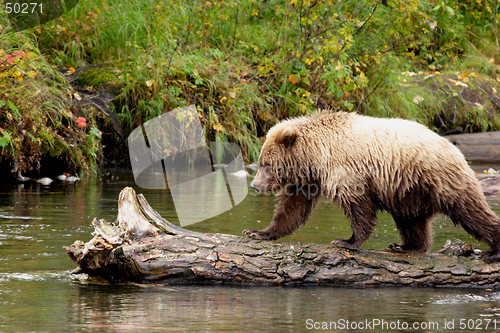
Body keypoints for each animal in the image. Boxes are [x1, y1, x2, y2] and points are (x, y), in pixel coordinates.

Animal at [244, 111, 500, 262]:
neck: (315, 156)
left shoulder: (346, 169)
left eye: (265, 164)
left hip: (437, 178)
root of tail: (452, 146)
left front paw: (346, 241)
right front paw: (258, 232)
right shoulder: (308, 179)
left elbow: (358, 207)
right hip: (407, 191)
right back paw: (406, 246)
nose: (255, 185)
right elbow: (292, 209)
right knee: (411, 221)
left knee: (470, 210)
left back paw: (493, 251)